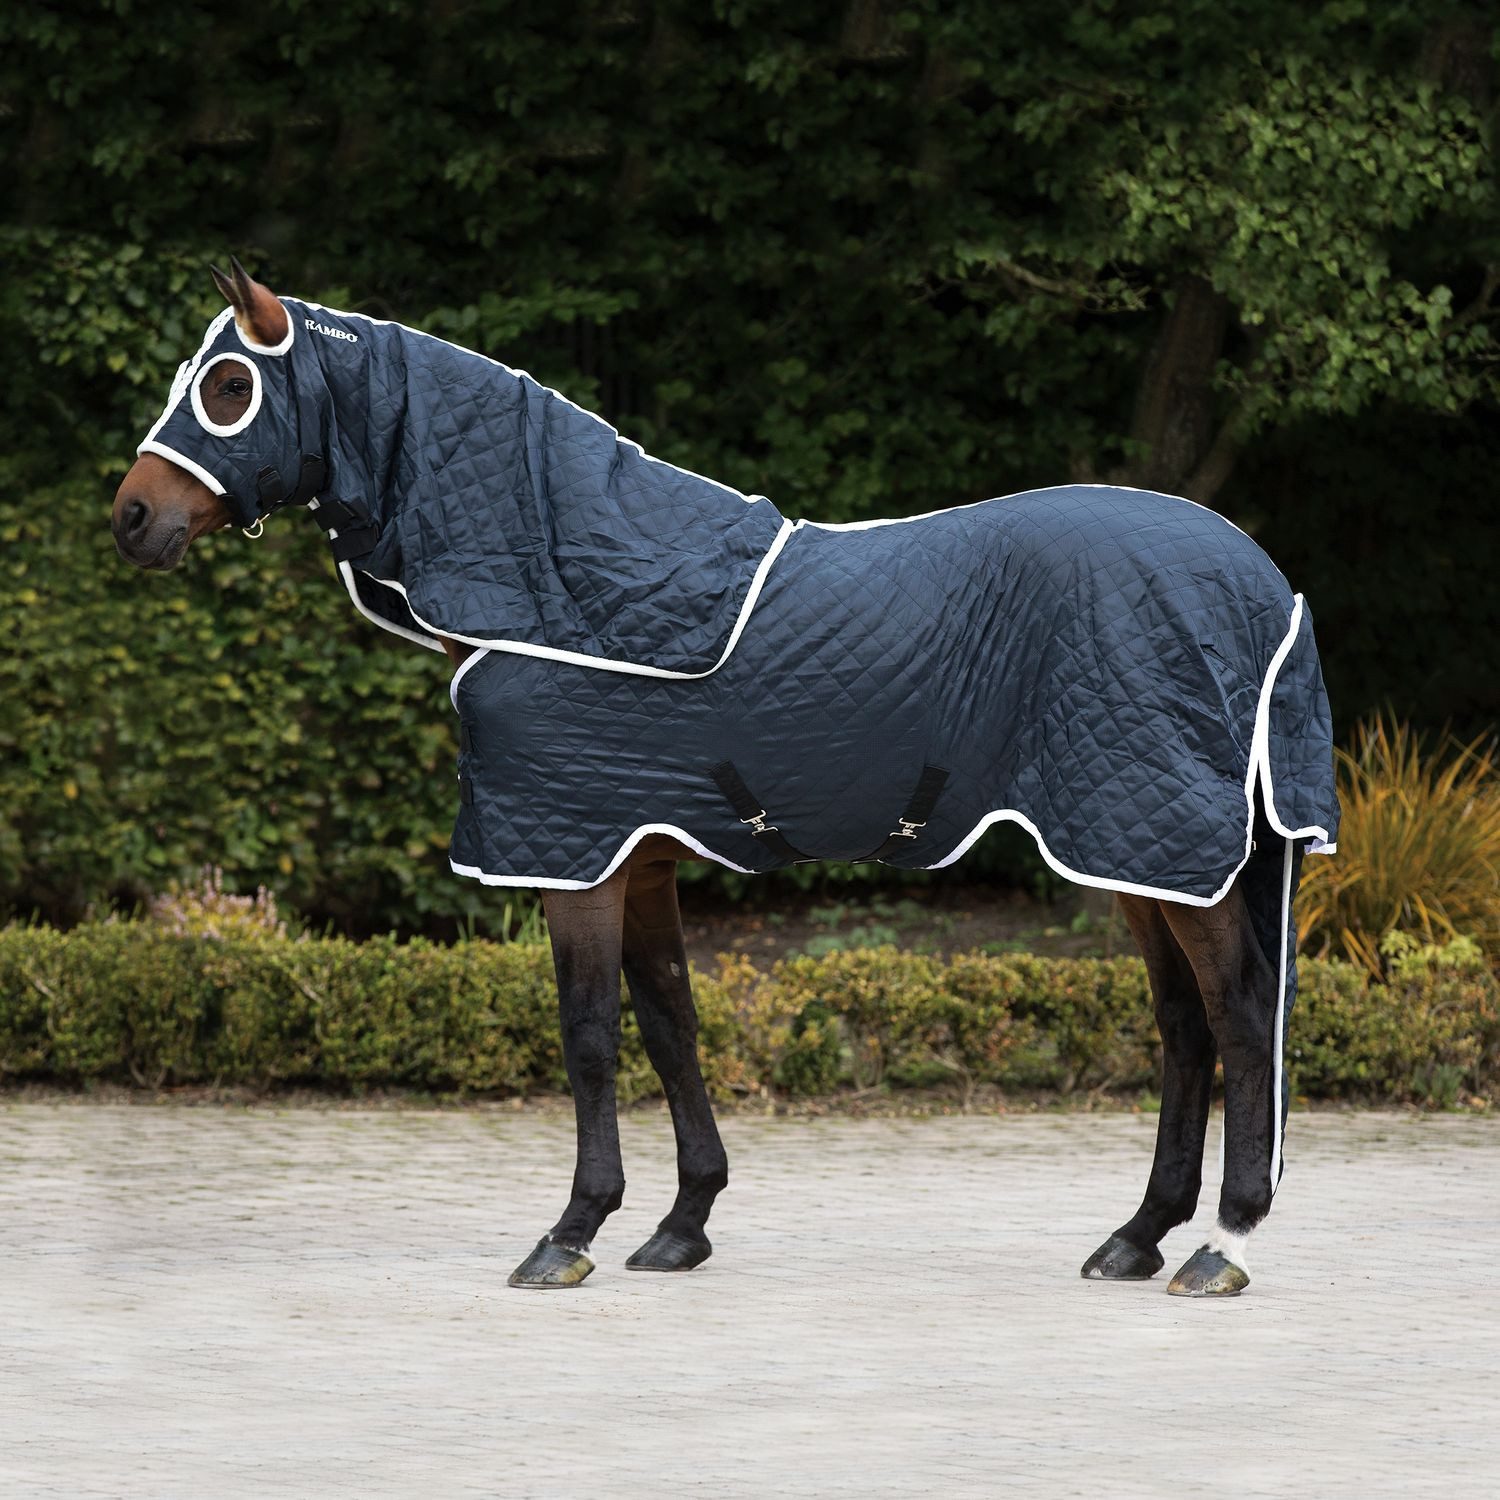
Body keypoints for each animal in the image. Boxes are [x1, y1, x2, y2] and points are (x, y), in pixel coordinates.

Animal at [112, 259, 1339, 1297]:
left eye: (228, 385)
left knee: (1236, 1016)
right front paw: (681, 1222)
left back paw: (1222, 1244)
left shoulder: (577, 856)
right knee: (1183, 1026)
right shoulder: (643, 851)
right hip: (1134, 854)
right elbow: (671, 1021)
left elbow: (590, 1035)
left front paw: (570, 1232)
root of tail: (1264, 583)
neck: (568, 590)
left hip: (1156, 844)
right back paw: (1138, 1236)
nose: (133, 516)